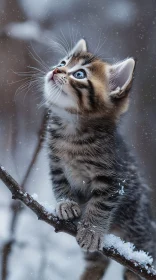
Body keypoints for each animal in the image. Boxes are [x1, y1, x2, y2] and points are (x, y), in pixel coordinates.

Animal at [43, 38, 155, 278]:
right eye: (63, 62)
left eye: (79, 74)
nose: (55, 70)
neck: (72, 131)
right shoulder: (55, 163)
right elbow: (60, 184)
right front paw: (66, 204)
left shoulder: (113, 178)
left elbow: (100, 205)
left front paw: (92, 231)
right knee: (97, 262)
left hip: (138, 228)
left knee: (145, 250)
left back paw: (138, 268)